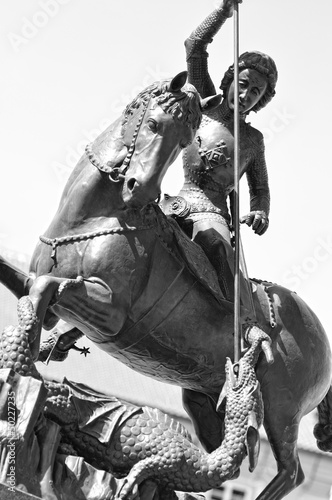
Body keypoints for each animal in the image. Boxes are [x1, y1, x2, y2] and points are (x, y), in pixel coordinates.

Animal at [0, 71, 332, 500]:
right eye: (154, 125)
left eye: (181, 144)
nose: (138, 190)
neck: (93, 217)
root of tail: (319, 334)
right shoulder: (39, 282)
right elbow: (34, 286)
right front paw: (38, 349)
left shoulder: (110, 314)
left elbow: (45, 289)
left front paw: (24, 356)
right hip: (205, 402)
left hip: (282, 410)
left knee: (290, 472)